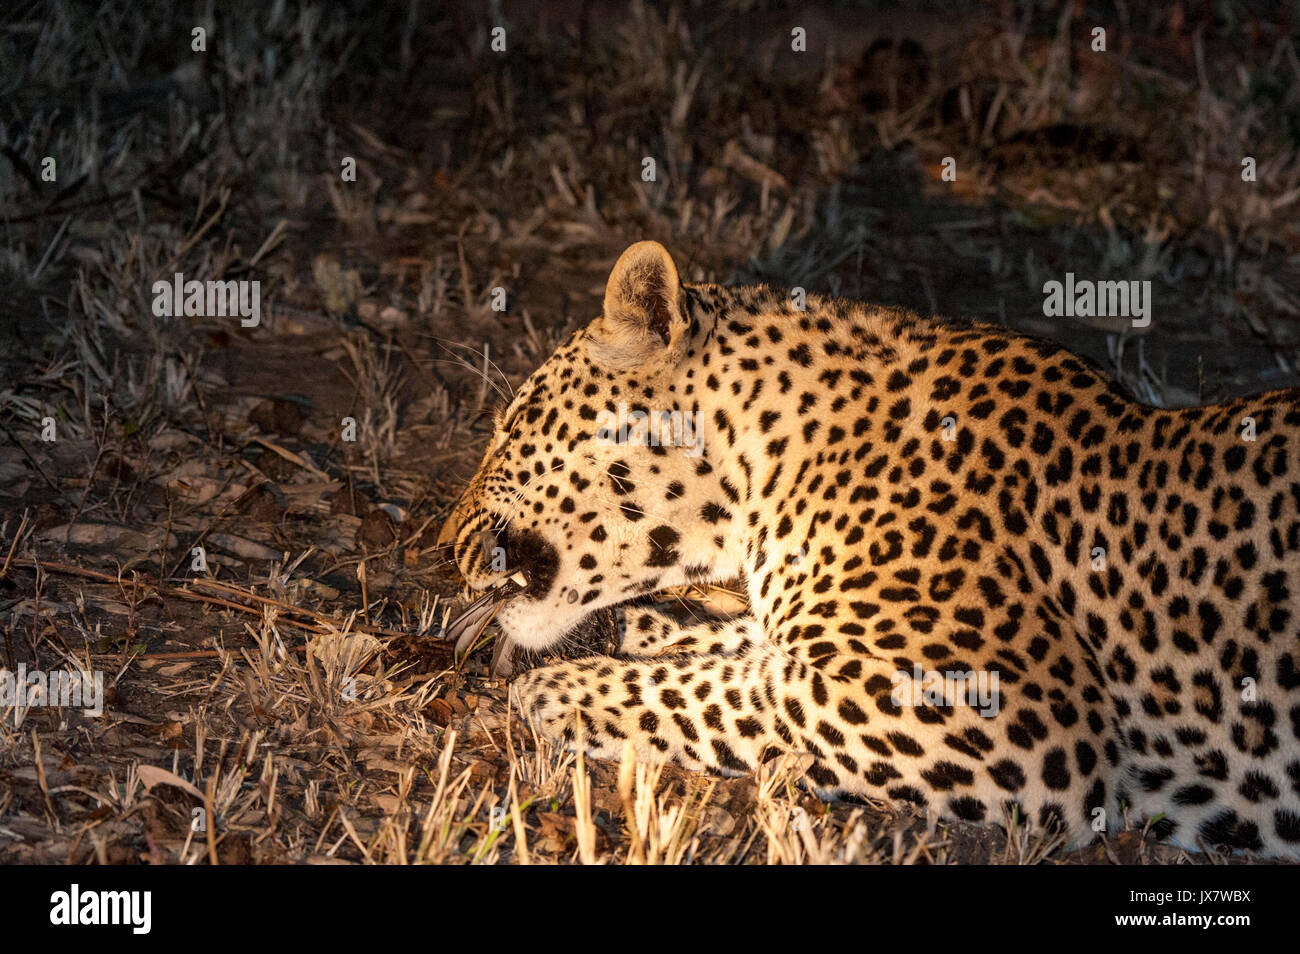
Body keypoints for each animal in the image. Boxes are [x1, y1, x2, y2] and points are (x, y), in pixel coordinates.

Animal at [438, 239, 1300, 856]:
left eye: (512, 427)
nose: (444, 547)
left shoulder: (1012, 711)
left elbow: (736, 692)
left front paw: (562, 688)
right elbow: (741, 649)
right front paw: (652, 629)